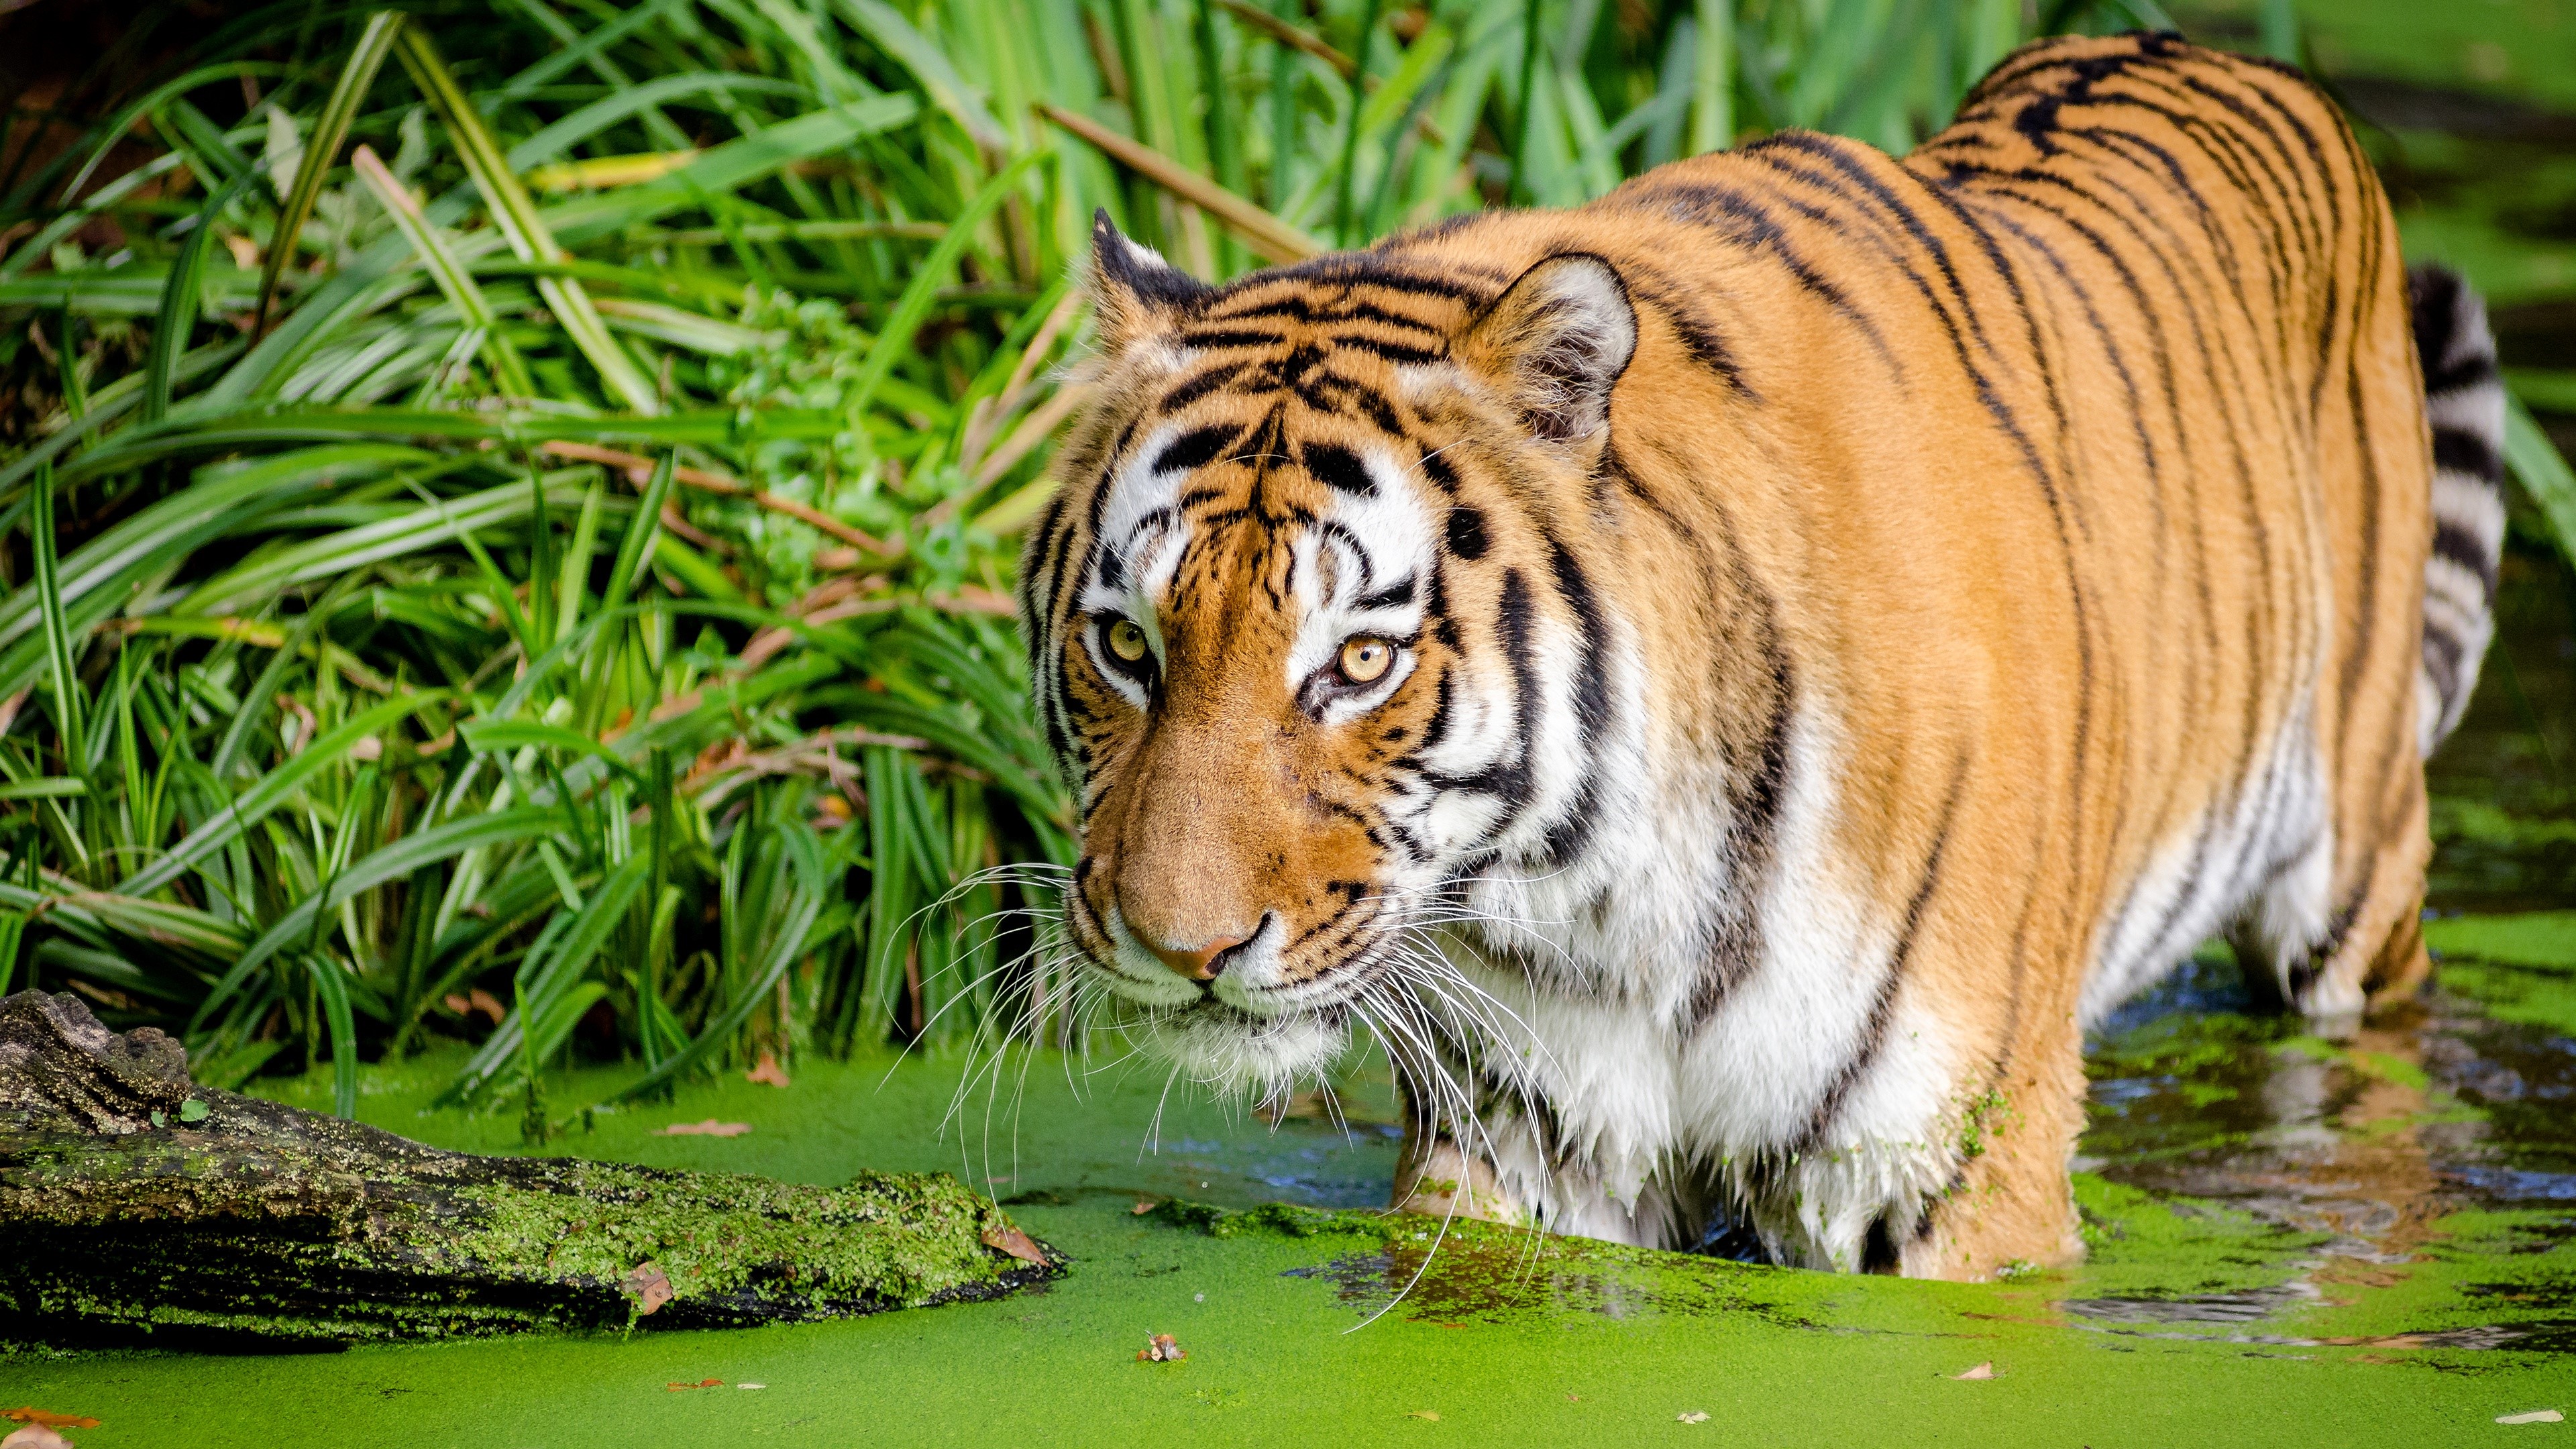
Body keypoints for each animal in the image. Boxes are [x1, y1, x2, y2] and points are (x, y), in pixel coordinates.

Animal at [1017, 30, 2508, 1279]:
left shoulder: (1955, 1169)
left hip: (2356, 890)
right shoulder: (1524, 1149)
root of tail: (2223, 54)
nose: (1181, 949)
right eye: (1127, 645)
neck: (1594, 905)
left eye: (1361, 666)